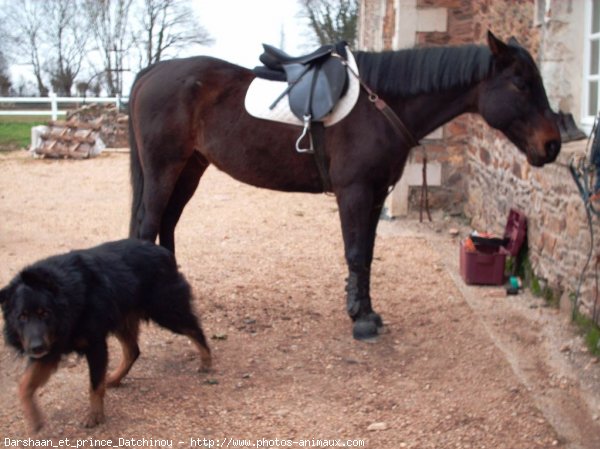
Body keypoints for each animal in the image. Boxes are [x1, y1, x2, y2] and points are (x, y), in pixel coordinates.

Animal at [0, 238, 211, 430]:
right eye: (22, 316)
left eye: (45, 313)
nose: (36, 348)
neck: (67, 299)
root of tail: (163, 251)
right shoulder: (51, 348)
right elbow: (24, 384)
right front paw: (34, 419)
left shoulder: (95, 344)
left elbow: (94, 385)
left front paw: (95, 416)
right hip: (123, 320)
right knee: (133, 351)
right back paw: (114, 378)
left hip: (166, 311)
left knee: (195, 330)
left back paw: (206, 361)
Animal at [127, 31, 564, 340]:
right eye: (520, 83)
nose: (553, 144)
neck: (381, 103)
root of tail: (151, 72)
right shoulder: (354, 191)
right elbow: (354, 252)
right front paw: (360, 320)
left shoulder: (375, 195)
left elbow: (366, 254)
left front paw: (366, 311)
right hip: (165, 169)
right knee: (149, 226)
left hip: (190, 169)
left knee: (167, 224)